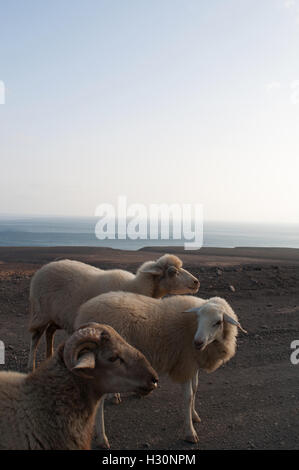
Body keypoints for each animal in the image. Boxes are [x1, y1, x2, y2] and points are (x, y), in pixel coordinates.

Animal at [27, 253, 199, 370]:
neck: (134, 286)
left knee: (50, 332)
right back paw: (31, 366)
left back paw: (49, 357)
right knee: (36, 337)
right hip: (40, 313)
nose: (196, 282)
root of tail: (43, 268)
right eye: (172, 271)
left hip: (57, 316)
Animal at [75, 290, 248, 448]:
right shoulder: (185, 363)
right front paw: (190, 432)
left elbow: (195, 389)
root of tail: (85, 311)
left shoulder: (192, 364)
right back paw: (102, 439)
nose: (197, 342)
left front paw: (193, 416)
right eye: (198, 318)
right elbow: (188, 397)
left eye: (218, 322)